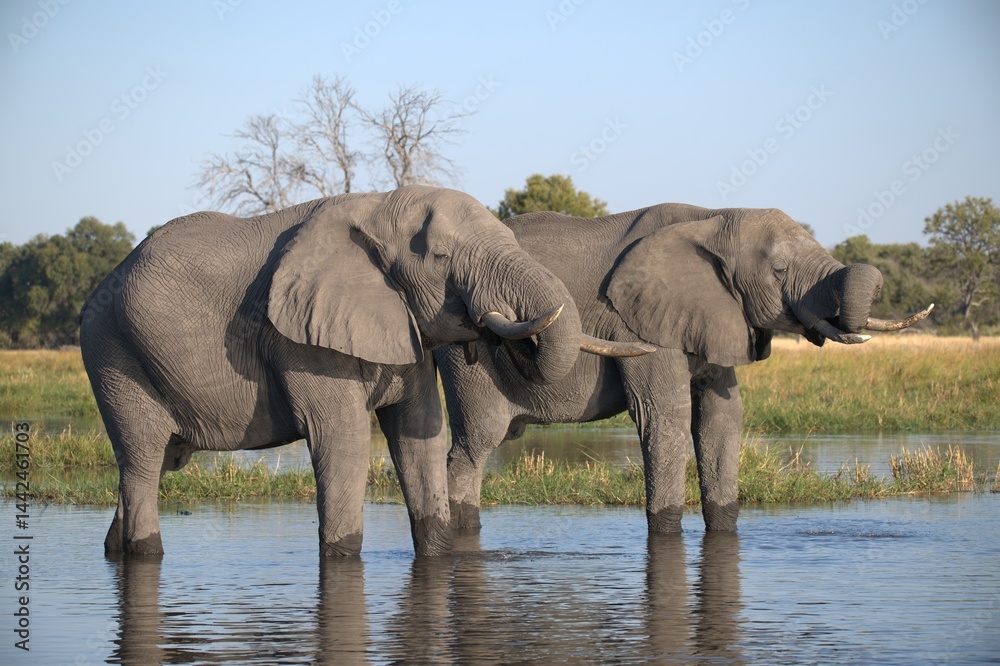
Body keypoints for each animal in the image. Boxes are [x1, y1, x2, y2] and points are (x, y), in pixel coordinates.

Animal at [81, 185, 647, 558]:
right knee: (142, 459)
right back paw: (142, 550)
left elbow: (419, 431)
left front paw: (439, 557)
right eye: (441, 255)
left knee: (157, 466)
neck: (377, 207)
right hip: (113, 358)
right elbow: (343, 438)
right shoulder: (300, 336)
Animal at [439, 203, 933, 533]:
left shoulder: (714, 314)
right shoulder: (639, 322)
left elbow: (722, 418)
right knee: (474, 446)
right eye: (778, 270)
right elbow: (665, 417)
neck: (713, 217)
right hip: (468, 351)